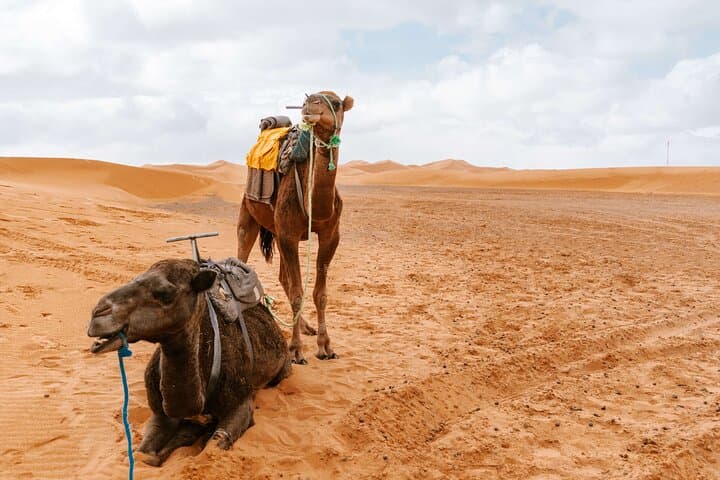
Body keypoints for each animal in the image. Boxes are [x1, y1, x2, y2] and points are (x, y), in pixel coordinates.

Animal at [87, 259, 290, 466]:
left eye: (165, 293)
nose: (98, 314)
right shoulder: (160, 413)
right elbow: (142, 453)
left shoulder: (240, 402)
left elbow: (215, 442)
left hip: (284, 368)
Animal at [237, 90, 353, 364]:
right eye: (308, 101)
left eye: (336, 103)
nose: (310, 106)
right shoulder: (289, 234)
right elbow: (298, 291)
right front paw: (296, 351)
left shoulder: (331, 235)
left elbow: (319, 294)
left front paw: (325, 346)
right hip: (249, 213)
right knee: (242, 255)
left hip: (276, 230)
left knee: (284, 277)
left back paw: (304, 326)